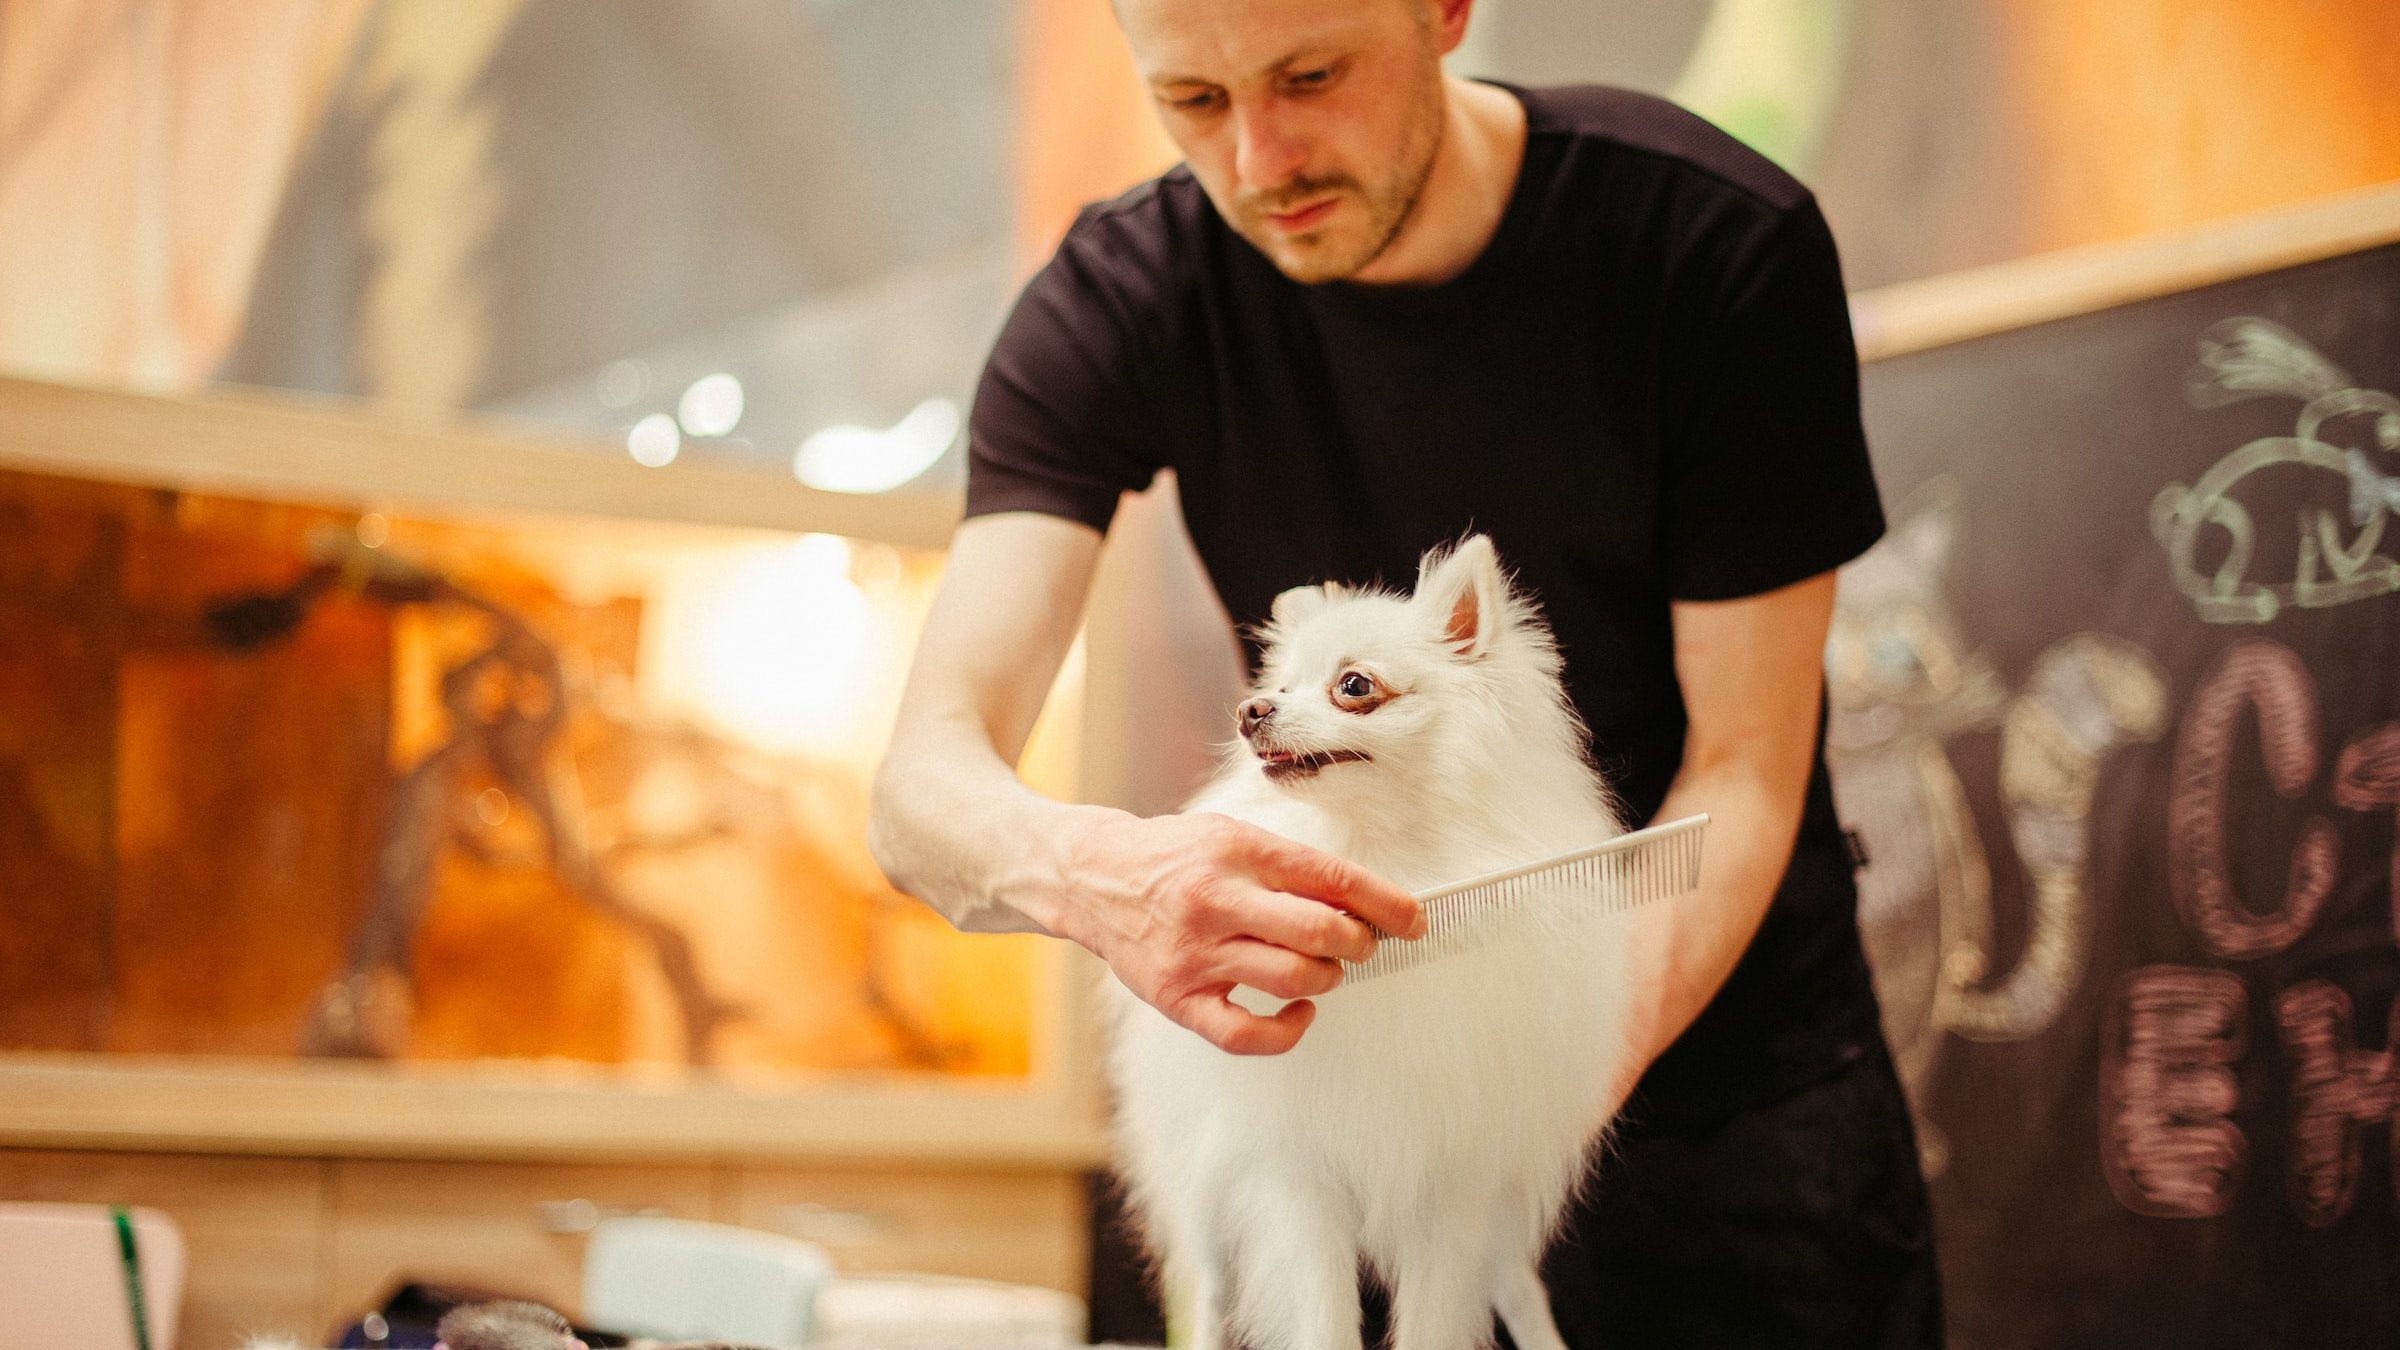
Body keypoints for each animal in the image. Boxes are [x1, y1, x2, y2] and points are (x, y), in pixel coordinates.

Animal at [1099, 533, 1632, 1345]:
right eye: (1281, 686)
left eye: (1354, 685)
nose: (1250, 709)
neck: (1380, 855)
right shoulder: (1296, 1175)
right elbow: (1323, 1317)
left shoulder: (1458, 1185)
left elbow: (1434, 1322)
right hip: (1200, 1187)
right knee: (1205, 1293)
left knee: (1517, 1290)